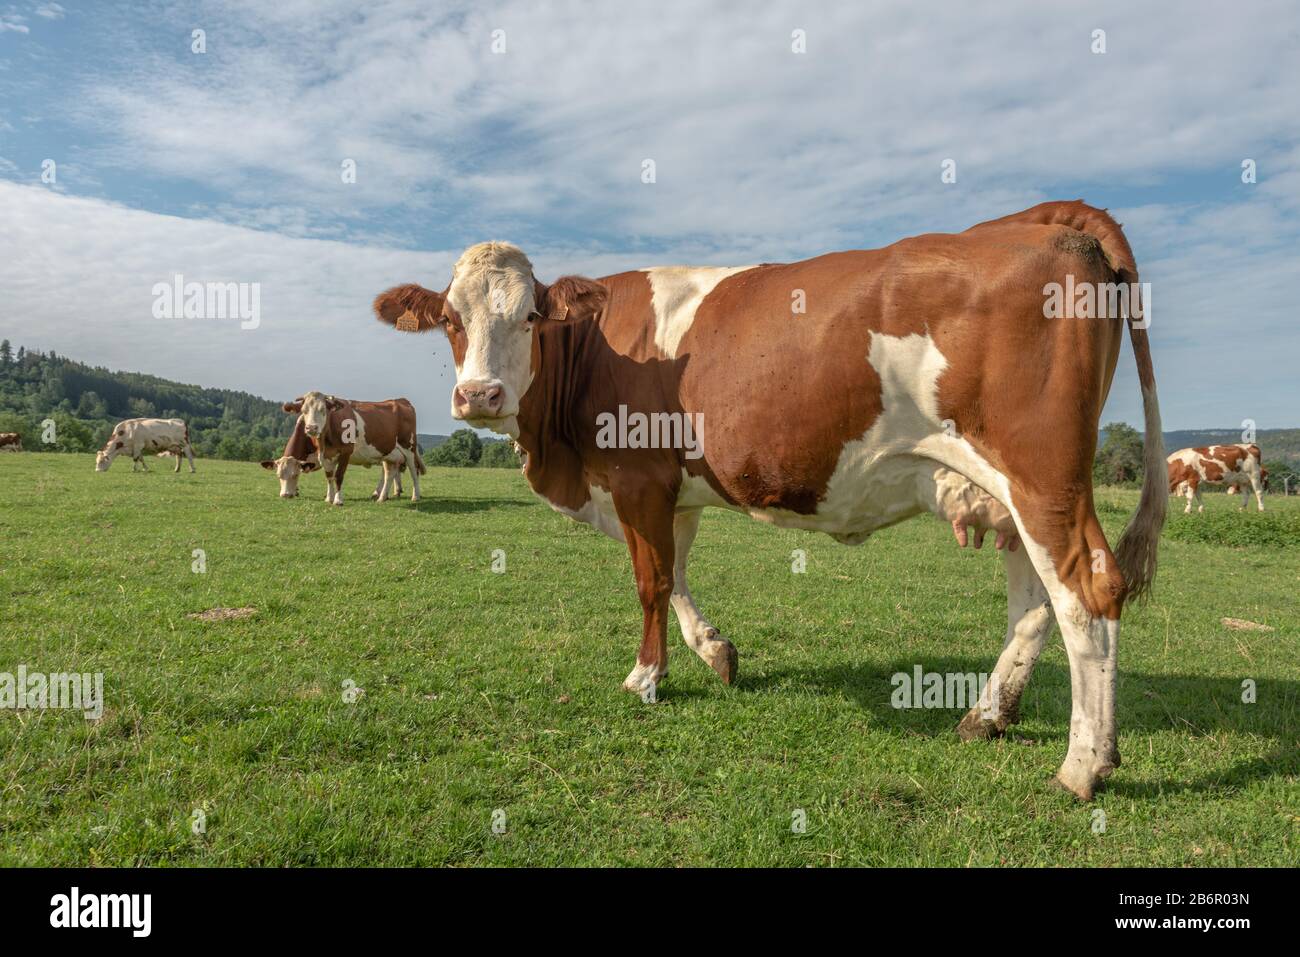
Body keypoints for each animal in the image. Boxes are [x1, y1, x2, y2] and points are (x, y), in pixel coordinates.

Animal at [282, 392, 423, 504]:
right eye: (304, 410)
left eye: (323, 410)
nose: (311, 428)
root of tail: (401, 400)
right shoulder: (326, 455)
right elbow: (329, 476)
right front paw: (329, 498)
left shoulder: (345, 453)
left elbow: (338, 476)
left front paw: (338, 500)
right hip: (389, 453)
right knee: (390, 473)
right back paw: (382, 497)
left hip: (409, 448)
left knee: (414, 471)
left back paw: (415, 496)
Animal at [374, 201, 1170, 800]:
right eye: (451, 320)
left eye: (531, 318)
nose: (479, 396)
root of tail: (1037, 220)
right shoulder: (674, 491)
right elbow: (677, 574)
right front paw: (715, 652)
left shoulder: (635, 479)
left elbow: (649, 580)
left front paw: (646, 677)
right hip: (1005, 491)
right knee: (1034, 602)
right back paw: (988, 715)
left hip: (1041, 476)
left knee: (1087, 594)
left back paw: (1083, 765)